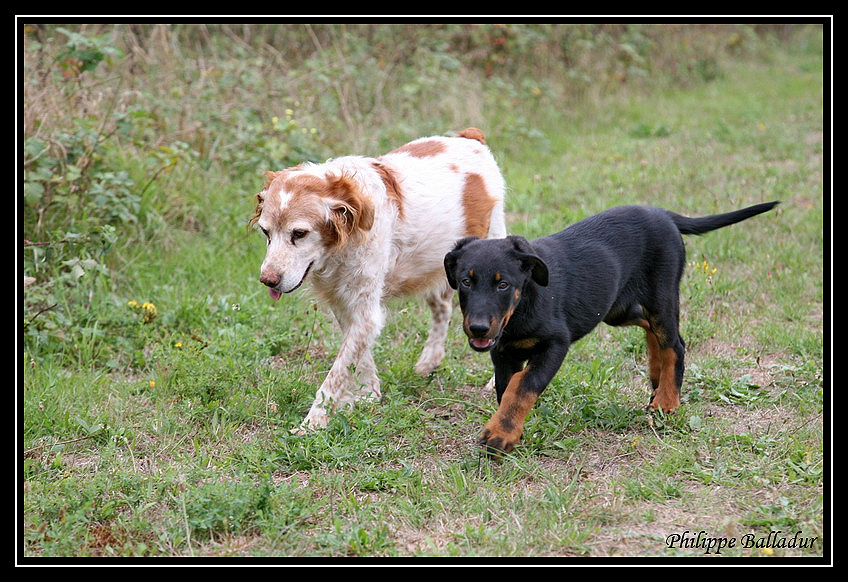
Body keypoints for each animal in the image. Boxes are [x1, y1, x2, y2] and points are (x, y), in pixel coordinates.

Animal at [250, 130, 504, 432]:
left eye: (299, 233)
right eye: (265, 232)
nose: (267, 280)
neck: (345, 238)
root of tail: (471, 137)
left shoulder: (365, 311)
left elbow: (335, 375)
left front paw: (312, 424)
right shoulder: (346, 304)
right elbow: (358, 356)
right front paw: (369, 394)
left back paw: (495, 382)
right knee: (443, 309)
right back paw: (428, 362)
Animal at [448, 203, 780, 454]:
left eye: (503, 284)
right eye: (465, 281)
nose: (478, 329)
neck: (521, 307)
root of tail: (664, 214)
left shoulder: (556, 343)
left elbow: (522, 386)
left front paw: (500, 435)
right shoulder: (503, 353)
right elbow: (507, 390)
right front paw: (509, 428)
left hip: (662, 294)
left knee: (674, 344)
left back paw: (667, 401)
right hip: (617, 308)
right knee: (651, 330)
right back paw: (657, 377)